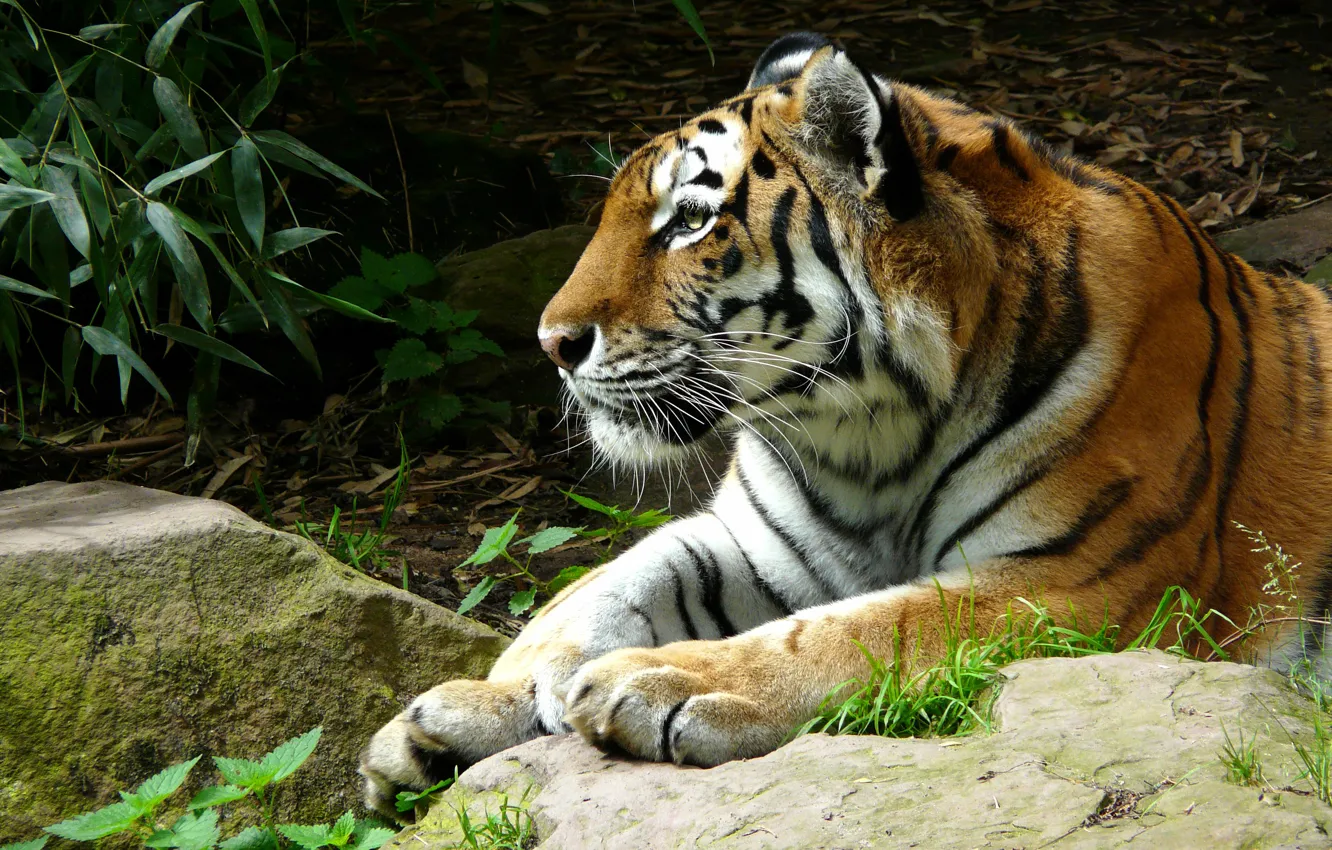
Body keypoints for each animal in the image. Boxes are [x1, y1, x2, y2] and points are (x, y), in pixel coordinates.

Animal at [359, 32, 1332, 817]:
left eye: (690, 220)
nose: (551, 343)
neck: (868, 433)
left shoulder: (1087, 581)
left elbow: (865, 628)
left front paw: (660, 680)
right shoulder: (760, 540)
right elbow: (607, 585)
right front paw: (470, 709)